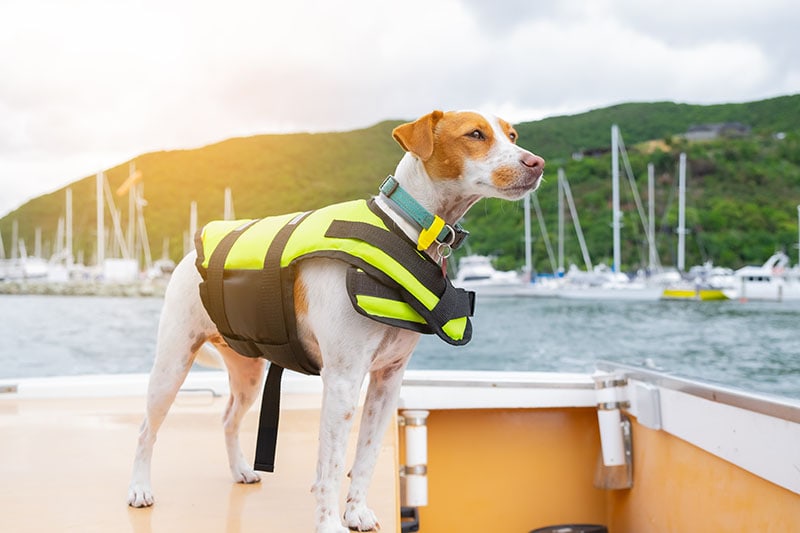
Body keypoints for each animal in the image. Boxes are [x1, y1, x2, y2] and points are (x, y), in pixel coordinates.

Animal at [126, 110, 544, 528]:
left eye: (512, 135)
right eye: (475, 134)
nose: (536, 163)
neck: (407, 229)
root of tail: (187, 255)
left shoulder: (387, 380)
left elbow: (366, 455)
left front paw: (356, 511)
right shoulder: (343, 379)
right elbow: (330, 465)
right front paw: (329, 524)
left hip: (248, 373)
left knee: (229, 419)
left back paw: (241, 469)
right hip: (172, 364)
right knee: (146, 430)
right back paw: (139, 489)